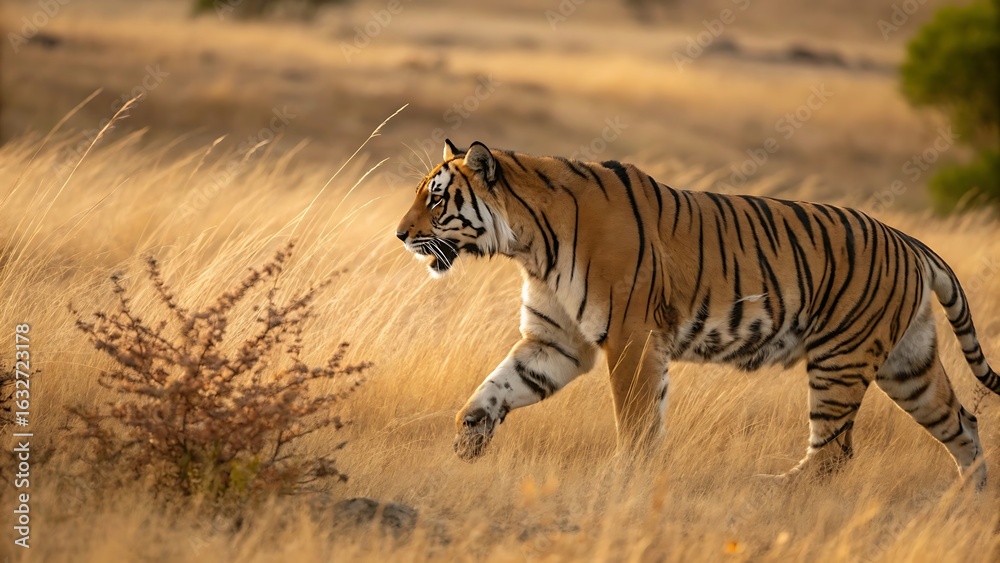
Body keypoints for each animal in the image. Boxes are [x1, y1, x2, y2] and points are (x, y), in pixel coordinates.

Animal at [395, 139, 1000, 488]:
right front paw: (467, 443)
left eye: (436, 198)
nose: (399, 235)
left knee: (834, 453)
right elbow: (495, 388)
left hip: (841, 358)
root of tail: (909, 241)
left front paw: (625, 477)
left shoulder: (631, 336)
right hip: (907, 364)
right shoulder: (556, 341)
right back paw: (967, 502)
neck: (528, 245)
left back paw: (772, 489)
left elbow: (637, 417)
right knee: (962, 423)